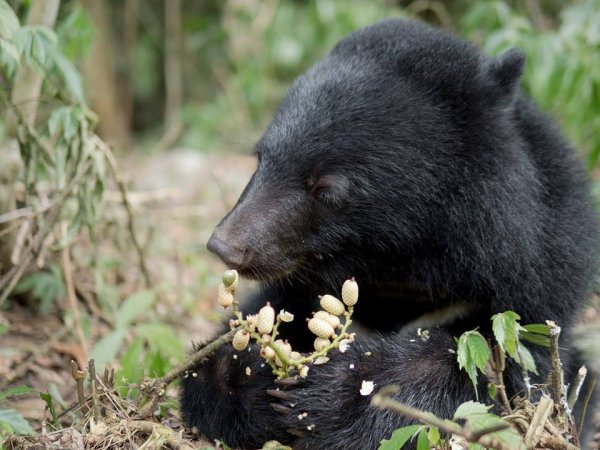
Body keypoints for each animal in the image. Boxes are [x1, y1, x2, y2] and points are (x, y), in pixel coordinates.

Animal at [180, 18, 596, 450]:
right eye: (261, 158)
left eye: (326, 188)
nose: (225, 246)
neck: (399, 275)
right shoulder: (297, 291)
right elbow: (209, 365)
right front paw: (257, 374)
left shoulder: (532, 288)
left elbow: (500, 377)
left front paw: (335, 394)